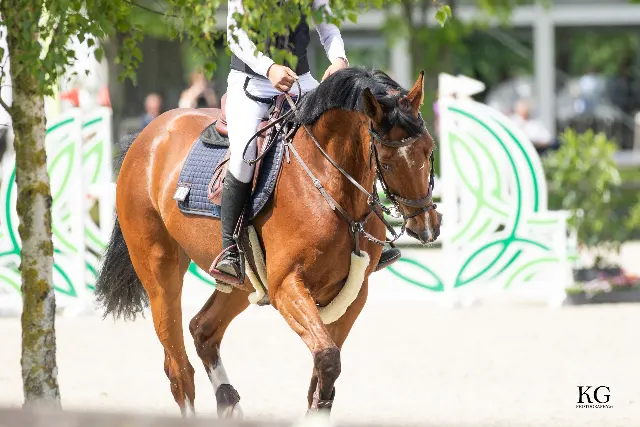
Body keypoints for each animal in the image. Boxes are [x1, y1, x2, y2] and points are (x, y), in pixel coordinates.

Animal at [95, 67, 442, 418]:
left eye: (429, 150)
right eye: (387, 160)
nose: (426, 226)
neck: (328, 184)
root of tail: (146, 136)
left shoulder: (356, 291)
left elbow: (322, 375)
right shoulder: (287, 286)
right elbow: (327, 359)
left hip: (243, 284)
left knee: (203, 330)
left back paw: (229, 402)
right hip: (161, 275)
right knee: (179, 370)